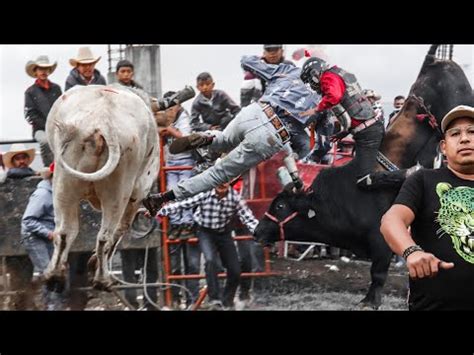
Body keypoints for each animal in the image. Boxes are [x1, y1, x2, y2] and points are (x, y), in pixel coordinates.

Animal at [44, 85, 159, 292]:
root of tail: (102, 121)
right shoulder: (137, 194)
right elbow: (121, 229)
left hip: (64, 184)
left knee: (65, 231)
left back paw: (54, 276)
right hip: (119, 192)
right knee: (106, 236)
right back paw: (102, 279)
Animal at [258, 45, 474, 308]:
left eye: (279, 206)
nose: (257, 232)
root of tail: (434, 62)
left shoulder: (381, 240)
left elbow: (378, 273)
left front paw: (370, 301)